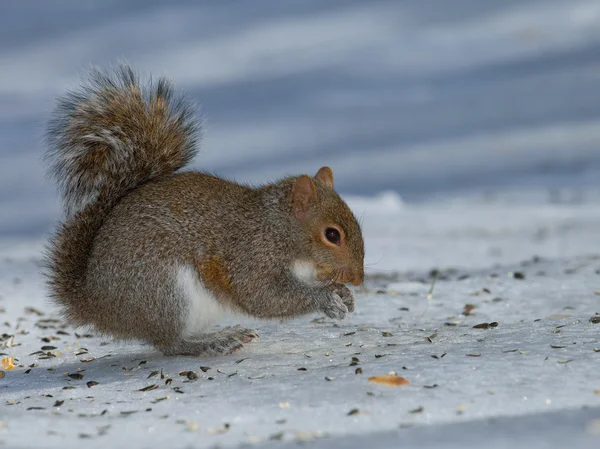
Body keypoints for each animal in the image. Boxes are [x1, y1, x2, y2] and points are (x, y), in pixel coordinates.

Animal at [43, 65, 366, 356]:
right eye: (332, 235)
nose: (358, 279)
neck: (278, 228)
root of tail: (97, 303)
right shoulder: (251, 255)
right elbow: (261, 295)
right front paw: (326, 299)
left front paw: (344, 295)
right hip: (164, 291)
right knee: (170, 345)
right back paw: (213, 342)